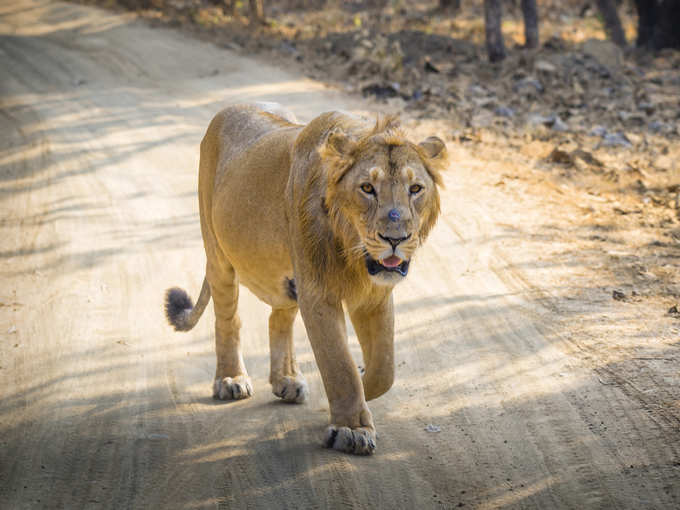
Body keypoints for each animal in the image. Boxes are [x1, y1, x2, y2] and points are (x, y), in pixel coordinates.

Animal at [164, 102, 446, 454]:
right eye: (367, 188)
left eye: (416, 189)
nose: (395, 238)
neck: (353, 253)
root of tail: (234, 107)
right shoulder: (318, 291)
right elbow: (338, 363)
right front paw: (352, 429)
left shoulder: (374, 295)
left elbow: (385, 368)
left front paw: (363, 384)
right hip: (218, 252)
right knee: (228, 319)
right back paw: (230, 380)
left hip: (288, 281)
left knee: (278, 319)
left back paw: (286, 381)